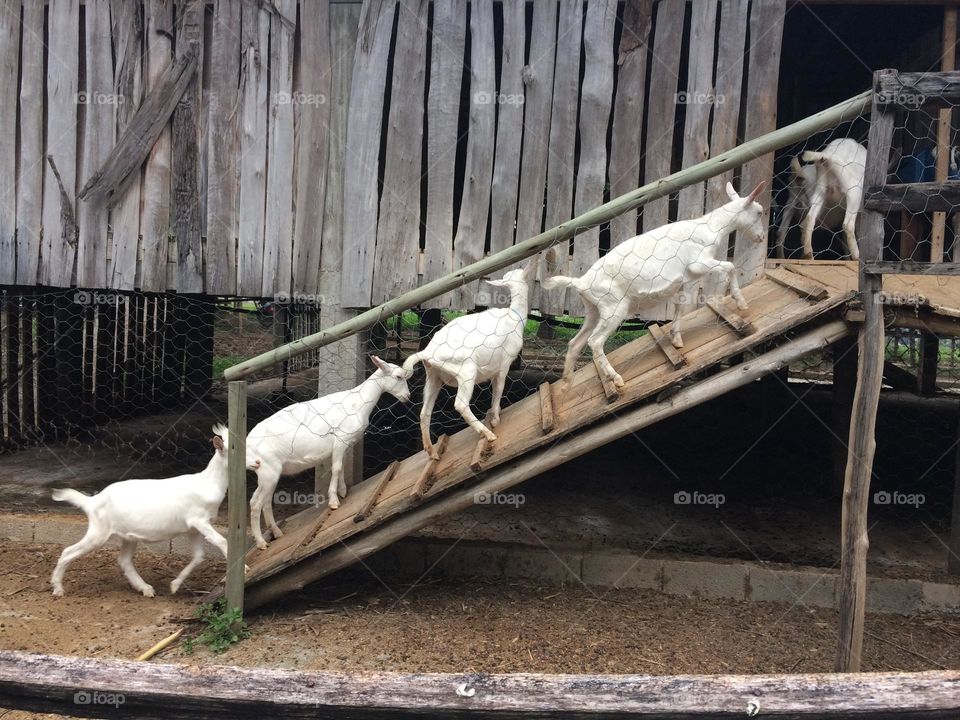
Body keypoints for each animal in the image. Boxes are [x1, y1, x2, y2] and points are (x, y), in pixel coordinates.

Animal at [49, 424, 235, 600]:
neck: (208, 483)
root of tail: (92, 501)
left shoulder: (192, 528)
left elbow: (199, 556)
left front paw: (174, 585)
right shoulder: (198, 520)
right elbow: (221, 541)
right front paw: (235, 573)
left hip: (128, 535)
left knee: (124, 561)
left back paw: (146, 589)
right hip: (99, 532)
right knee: (68, 552)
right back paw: (58, 588)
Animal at [246, 356, 410, 552]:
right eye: (398, 377)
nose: (408, 397)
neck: (357, 402)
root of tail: (247, 444)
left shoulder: (344, 444)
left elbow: (341, 467)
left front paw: (343, 491)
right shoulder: (340, 440)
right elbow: (337, 468)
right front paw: (334, 501)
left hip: (269, 473)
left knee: (263, 501)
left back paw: (277, 533)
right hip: (267, 470)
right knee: (256, 504)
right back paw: (261, 543)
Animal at [404, 262, 540, 458]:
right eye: (522, 272)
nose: (528, 265)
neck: (514, 317)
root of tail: (428, 353)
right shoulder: (504, 363)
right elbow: (499, 389)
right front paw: (495, 419)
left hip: (433, 376)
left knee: (424, 412)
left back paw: (432, 452)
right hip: (465, 370)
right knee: (460, 404)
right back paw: (488, 434)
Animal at [544, 183, 768, 390]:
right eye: (759, 212)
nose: (761, 237)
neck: (710, 227)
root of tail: (581, 282)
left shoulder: (684, 279)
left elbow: (680, 307)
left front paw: (676, 339)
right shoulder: (698, 263)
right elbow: (730, 266)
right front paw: (741, 303)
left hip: (594, 310)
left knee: (575, 343)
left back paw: (566, 384)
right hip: (613, 307)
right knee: (595, 341)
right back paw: (615, 379)